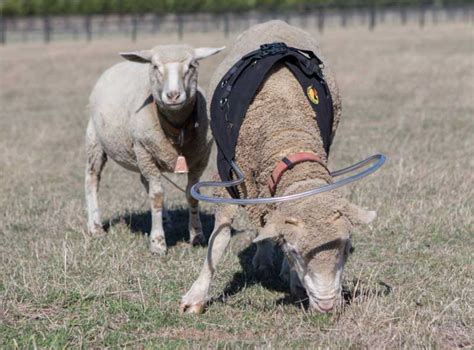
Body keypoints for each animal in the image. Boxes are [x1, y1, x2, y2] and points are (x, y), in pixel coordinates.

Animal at [84, 45, 224, 256]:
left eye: (192, 65)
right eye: (155, 66)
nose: (173, 95)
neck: (177, 128)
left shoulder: (199, 159)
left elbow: (191, 194)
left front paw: (197, 235)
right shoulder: (145, 153)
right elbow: (156, 196)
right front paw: (158, 243)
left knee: (146, 181)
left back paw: (164, 218)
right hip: (96, 141)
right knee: (92, 179)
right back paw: (95, 227)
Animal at [180, 20, 376, 314]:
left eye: (347, 249)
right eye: (295, 251)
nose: (328, 307)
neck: (285, 134)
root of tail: (276, 23)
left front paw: (294, 280)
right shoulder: (227, 183)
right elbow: (218, 242)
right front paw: (195, 298)